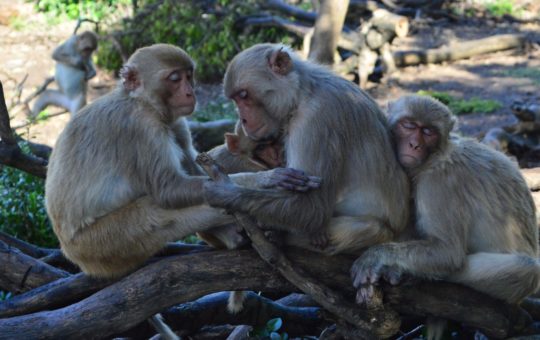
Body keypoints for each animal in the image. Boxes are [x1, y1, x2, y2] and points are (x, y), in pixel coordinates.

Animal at [350, 93, 540, 310]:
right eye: (408, 125)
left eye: (428, 132)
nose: (414, 145)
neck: (434, 157)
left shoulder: (439, 184)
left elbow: (449, 253)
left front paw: (377, 256)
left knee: (529, 269)